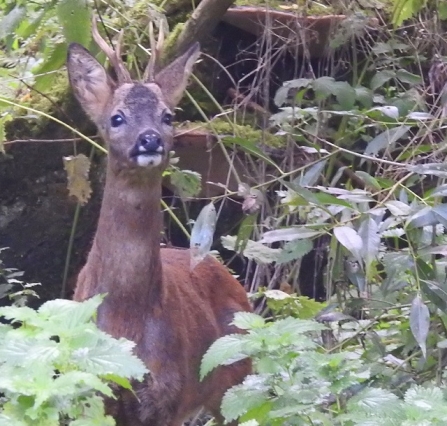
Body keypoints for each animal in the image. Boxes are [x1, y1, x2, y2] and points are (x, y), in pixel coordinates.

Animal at [68, 19, 254, 422]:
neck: (126, 318)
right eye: (116, 117)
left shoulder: (166, 394)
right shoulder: (88, 388)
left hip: (236, 373)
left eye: (168, 115)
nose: (150, 139)